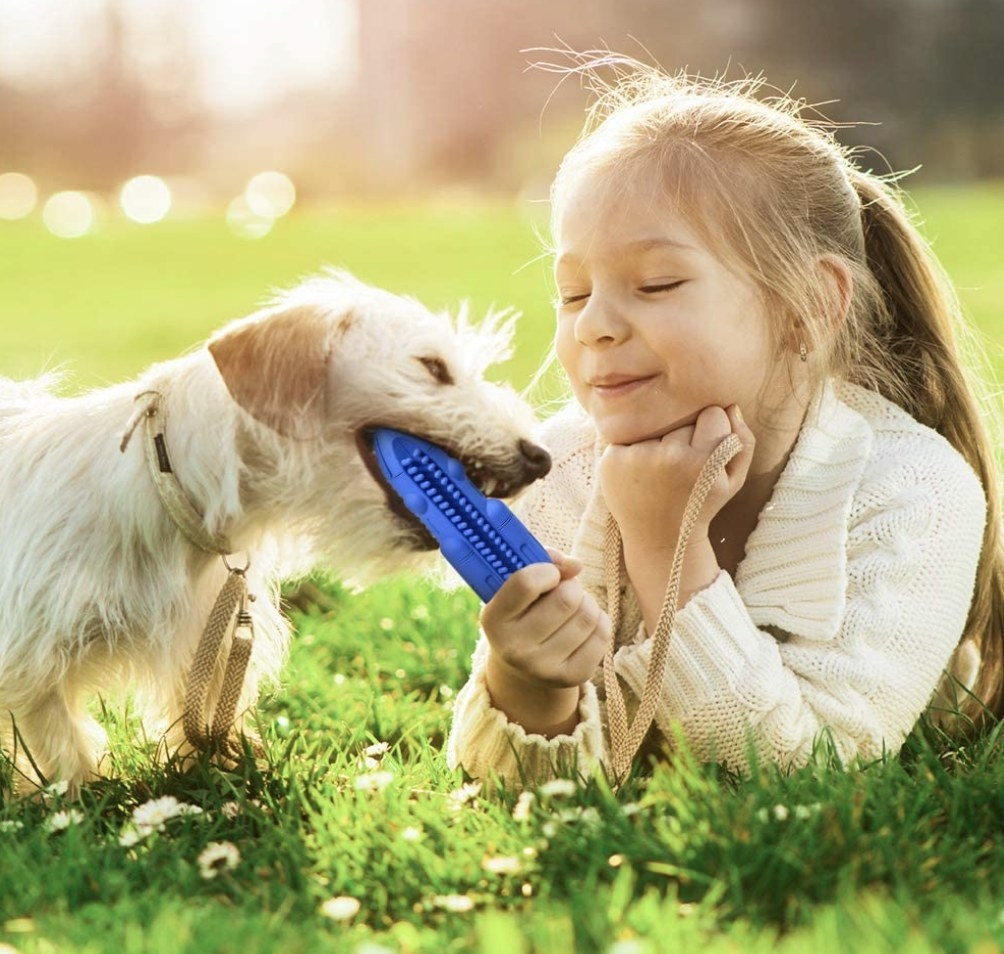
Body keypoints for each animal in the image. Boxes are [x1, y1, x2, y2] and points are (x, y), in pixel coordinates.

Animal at [0, 269, 550, 791]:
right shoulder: (30, 665)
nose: (540, 458)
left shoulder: (205, 649)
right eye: (433, 367)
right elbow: (60, 746)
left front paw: (222, 777)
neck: (166, 485)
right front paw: (82, 798)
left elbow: (199, 727)